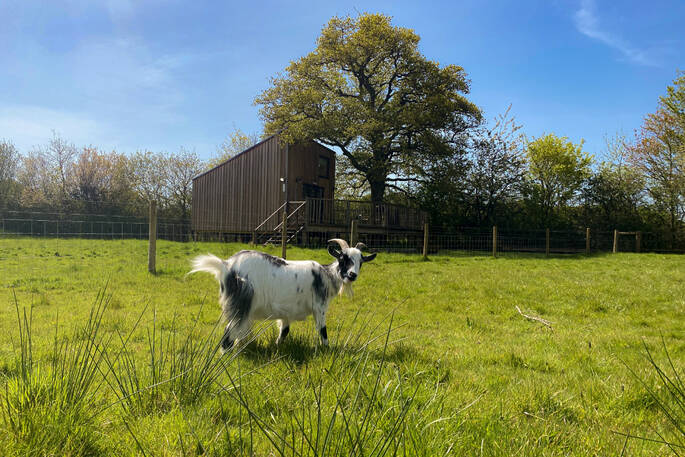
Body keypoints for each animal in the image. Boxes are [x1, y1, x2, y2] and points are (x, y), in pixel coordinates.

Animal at [189, 239, 376, 350]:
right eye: (343, 258)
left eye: (361, 261)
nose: (352, 275)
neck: (326, 275)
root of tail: (227, 265)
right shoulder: (320, 307)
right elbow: (323, 331)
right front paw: (327, 350)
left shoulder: (287, 313)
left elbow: (284, 331)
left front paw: (277, 348)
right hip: (240, 303)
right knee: (229, 332)